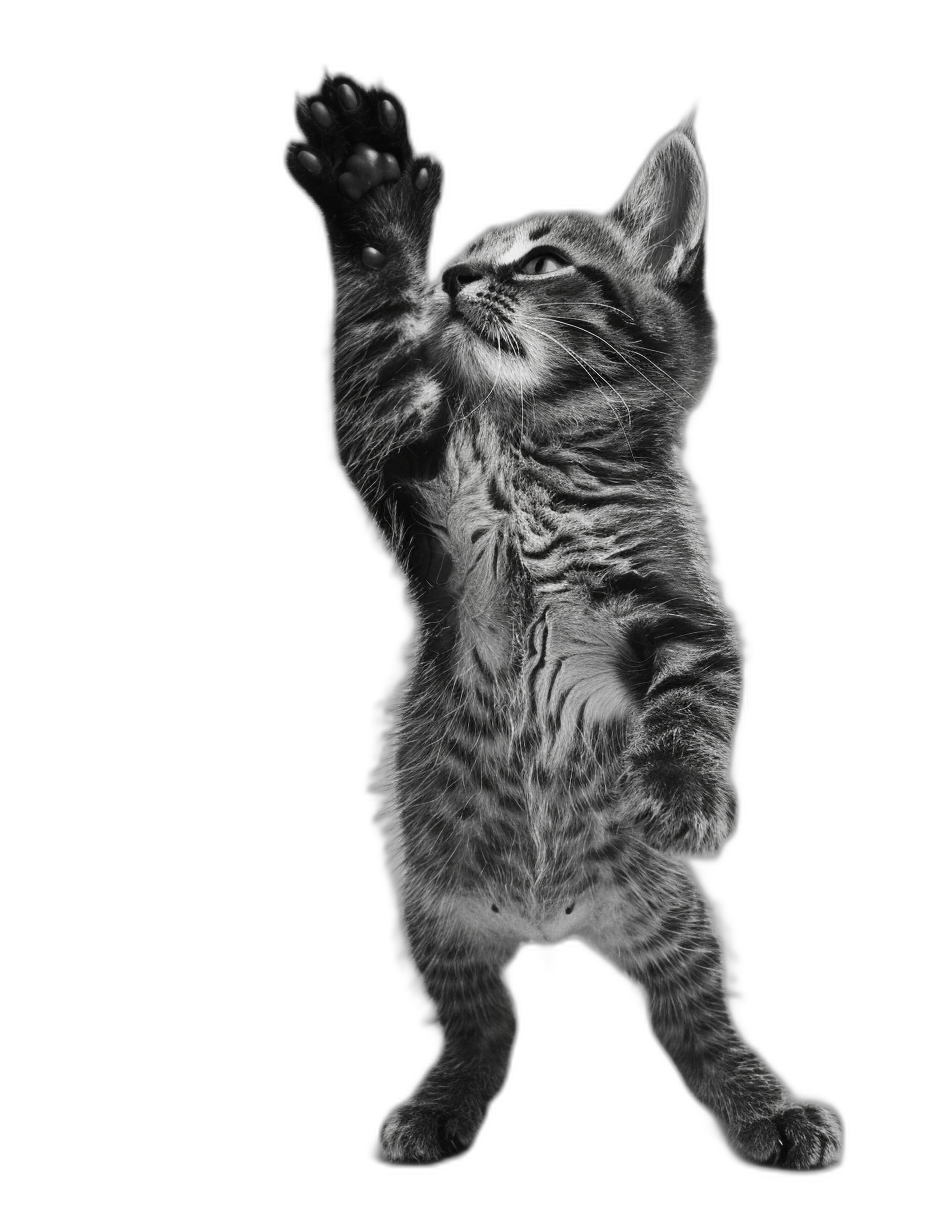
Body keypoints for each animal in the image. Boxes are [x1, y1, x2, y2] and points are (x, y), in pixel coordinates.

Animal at [285, 72, 842, 1167]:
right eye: (465, 252)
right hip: (438, 913)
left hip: (671, 916)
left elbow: (700, 695)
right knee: (483, 1024)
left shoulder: (687, 612)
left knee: (697, 1022)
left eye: (543, 260)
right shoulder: (407, 469)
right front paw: (368, 197)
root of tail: (550, 919)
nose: (455, 274)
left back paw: (768, 1106)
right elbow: (377, 338)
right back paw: (440, 1104)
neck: (539, 458)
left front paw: (684, 787)